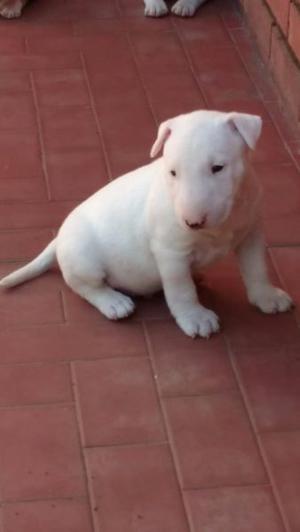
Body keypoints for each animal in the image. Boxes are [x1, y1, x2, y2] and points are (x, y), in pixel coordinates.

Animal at [0, 110, 292, 338]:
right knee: (83, 286)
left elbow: (256, 268)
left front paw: (267, 297)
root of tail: (59, 239)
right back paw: (114, 302)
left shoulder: (251, 232)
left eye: (218, 168)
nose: (192, 222)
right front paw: (195, 318)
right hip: (83, 258)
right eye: (173, 172)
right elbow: (181, 289)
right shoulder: (171, 252)